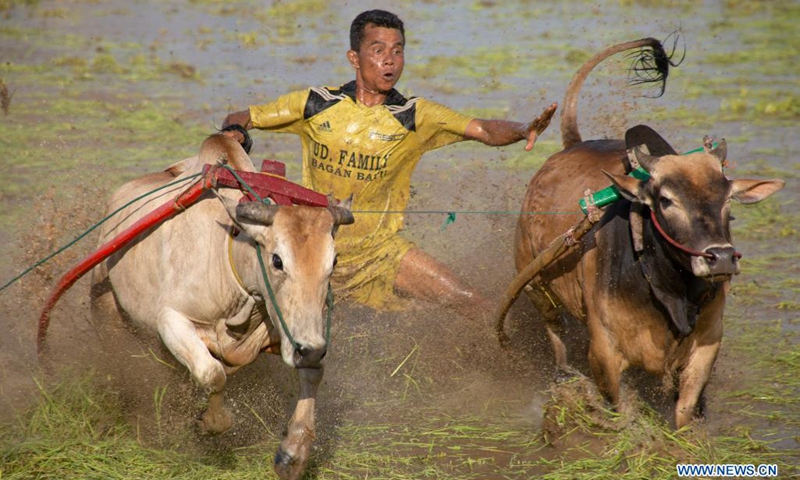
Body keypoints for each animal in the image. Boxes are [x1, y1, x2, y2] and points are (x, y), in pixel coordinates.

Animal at [90, 135, 354, 480]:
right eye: (277, 260)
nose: (308, 350)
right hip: (106, 304)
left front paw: (293, 453)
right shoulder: (170, 320)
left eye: (332, 262)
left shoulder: (301, 335)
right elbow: (212, 374)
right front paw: (211, 422)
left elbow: (314, 373)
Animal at [512, 38, 780, 428]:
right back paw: (563, 374)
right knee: (555, 332)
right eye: (666, 200)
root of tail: (570, 146)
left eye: (728, 198)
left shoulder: (707, 343)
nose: (721, 258)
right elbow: (620, 409)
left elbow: (685, 409)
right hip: (536, 286)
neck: (670, 289)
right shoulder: (604, 354)